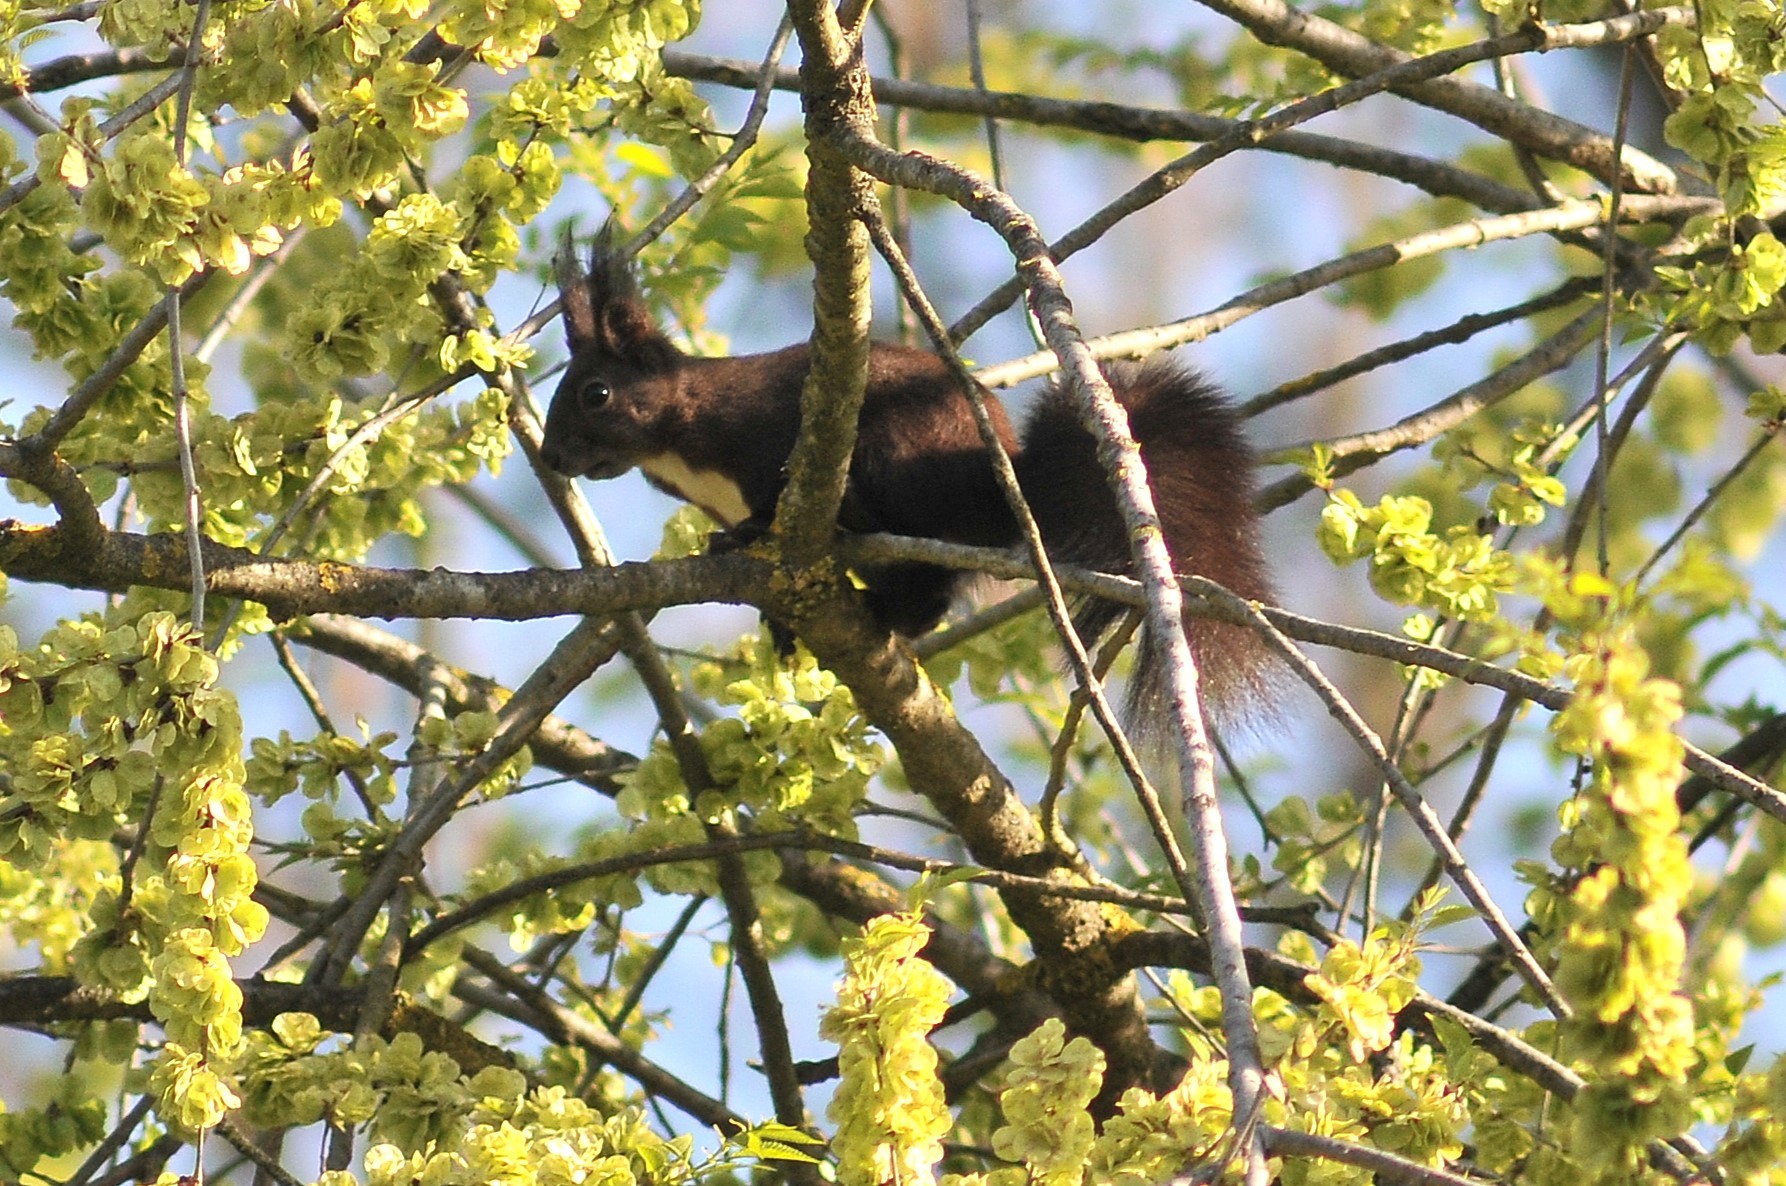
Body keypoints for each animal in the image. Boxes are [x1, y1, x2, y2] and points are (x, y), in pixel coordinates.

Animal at [540, 231, 1276, 727]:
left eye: (596, 394)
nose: (551, 458)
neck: (678, 441)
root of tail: (1007, 492)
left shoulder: (761, 434)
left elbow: (769, 497)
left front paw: (747, 535)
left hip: (897, 451)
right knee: (925, 595)